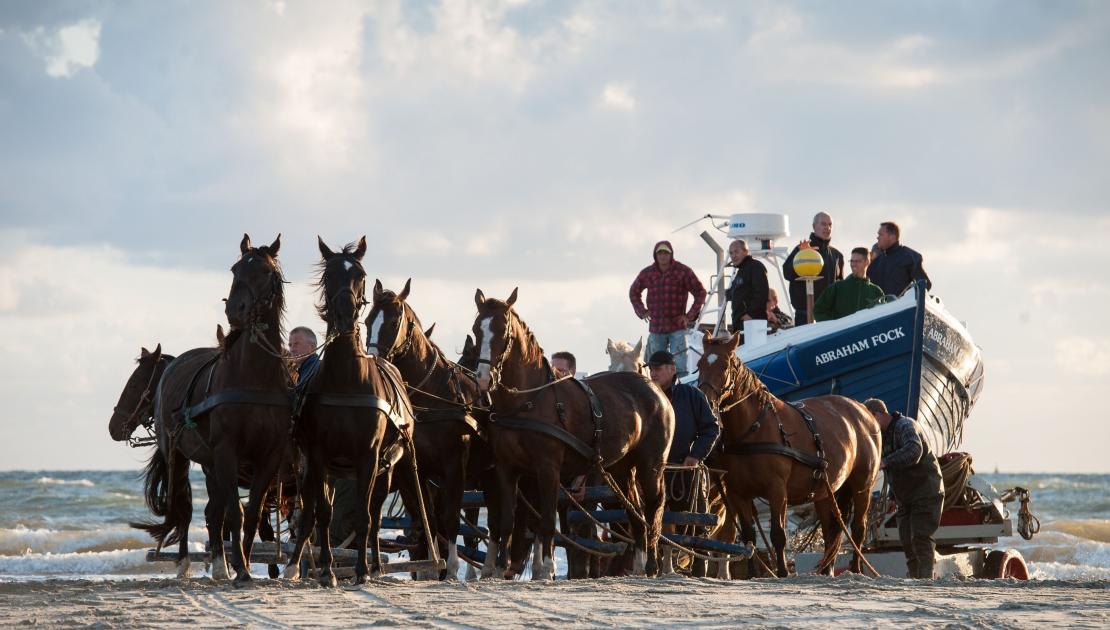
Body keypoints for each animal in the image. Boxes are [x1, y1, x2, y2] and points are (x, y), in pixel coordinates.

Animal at [129, 234, 293, 581]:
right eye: (234, 269)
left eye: (264, 271)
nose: (235, 310)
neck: (253, 378)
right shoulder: (226, 451)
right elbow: (235, 512)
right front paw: (241, 568)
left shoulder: (269, 457)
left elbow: (252, 512)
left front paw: (242, 563)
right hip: (178, 453)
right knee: (185, 508)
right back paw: (186, 563)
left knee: (212, 511)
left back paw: (220, 564)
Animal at [364, 280, 499, 581]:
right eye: (367, 321)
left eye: (394, 321)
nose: (373, 360)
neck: (431, 395)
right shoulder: (417, 471)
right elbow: (430, 518)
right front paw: (433, 566)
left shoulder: (454, 467)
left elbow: (450, 519)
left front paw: (451, 569)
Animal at [470, 288, 670, 576]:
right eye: (477, 330)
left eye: (503, 331)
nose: (484, 378)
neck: (527, 401)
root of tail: (655, 389)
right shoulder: (506, 468)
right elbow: (506, 520)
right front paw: (498, 569)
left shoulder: (548, 468)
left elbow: (545, 521)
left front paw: (547, 568)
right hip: (621, 468)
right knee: (636, 512)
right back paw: (641, 565)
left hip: (651, 465)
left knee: (653, 508)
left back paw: (652, 564)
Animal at [697, 332, 879, 576]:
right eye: (699, 365)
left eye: (725, 365)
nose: (705, 400)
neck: (753, 427)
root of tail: (862, 410)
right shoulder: (738, 493)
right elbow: (748, 537)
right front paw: (753, 574)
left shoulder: (777, 489)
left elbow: (778, 534)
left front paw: (782, 572)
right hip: (826, 490)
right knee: (831, 530)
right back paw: (827, 570)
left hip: (862, 486)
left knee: (858, 528)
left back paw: (856, 569)